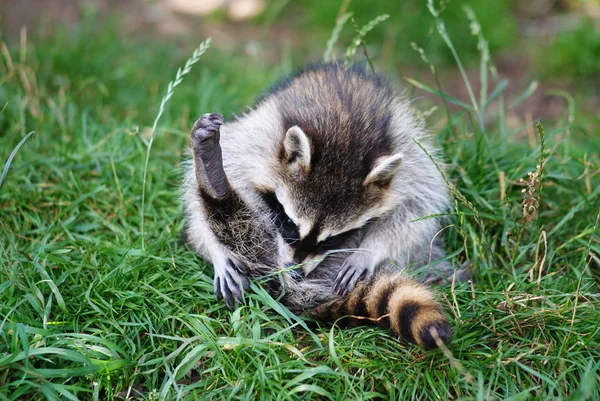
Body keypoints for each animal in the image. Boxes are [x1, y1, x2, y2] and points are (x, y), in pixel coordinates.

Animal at [182, 62, 454, 346]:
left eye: (332, 239)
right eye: (289, 223)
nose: (296, 273)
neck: (345, 142)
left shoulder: (410, 158)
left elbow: (418, 208)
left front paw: (368, 250)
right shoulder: (261, 142)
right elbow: (202, 193)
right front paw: (217, 250)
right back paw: (213, 177)